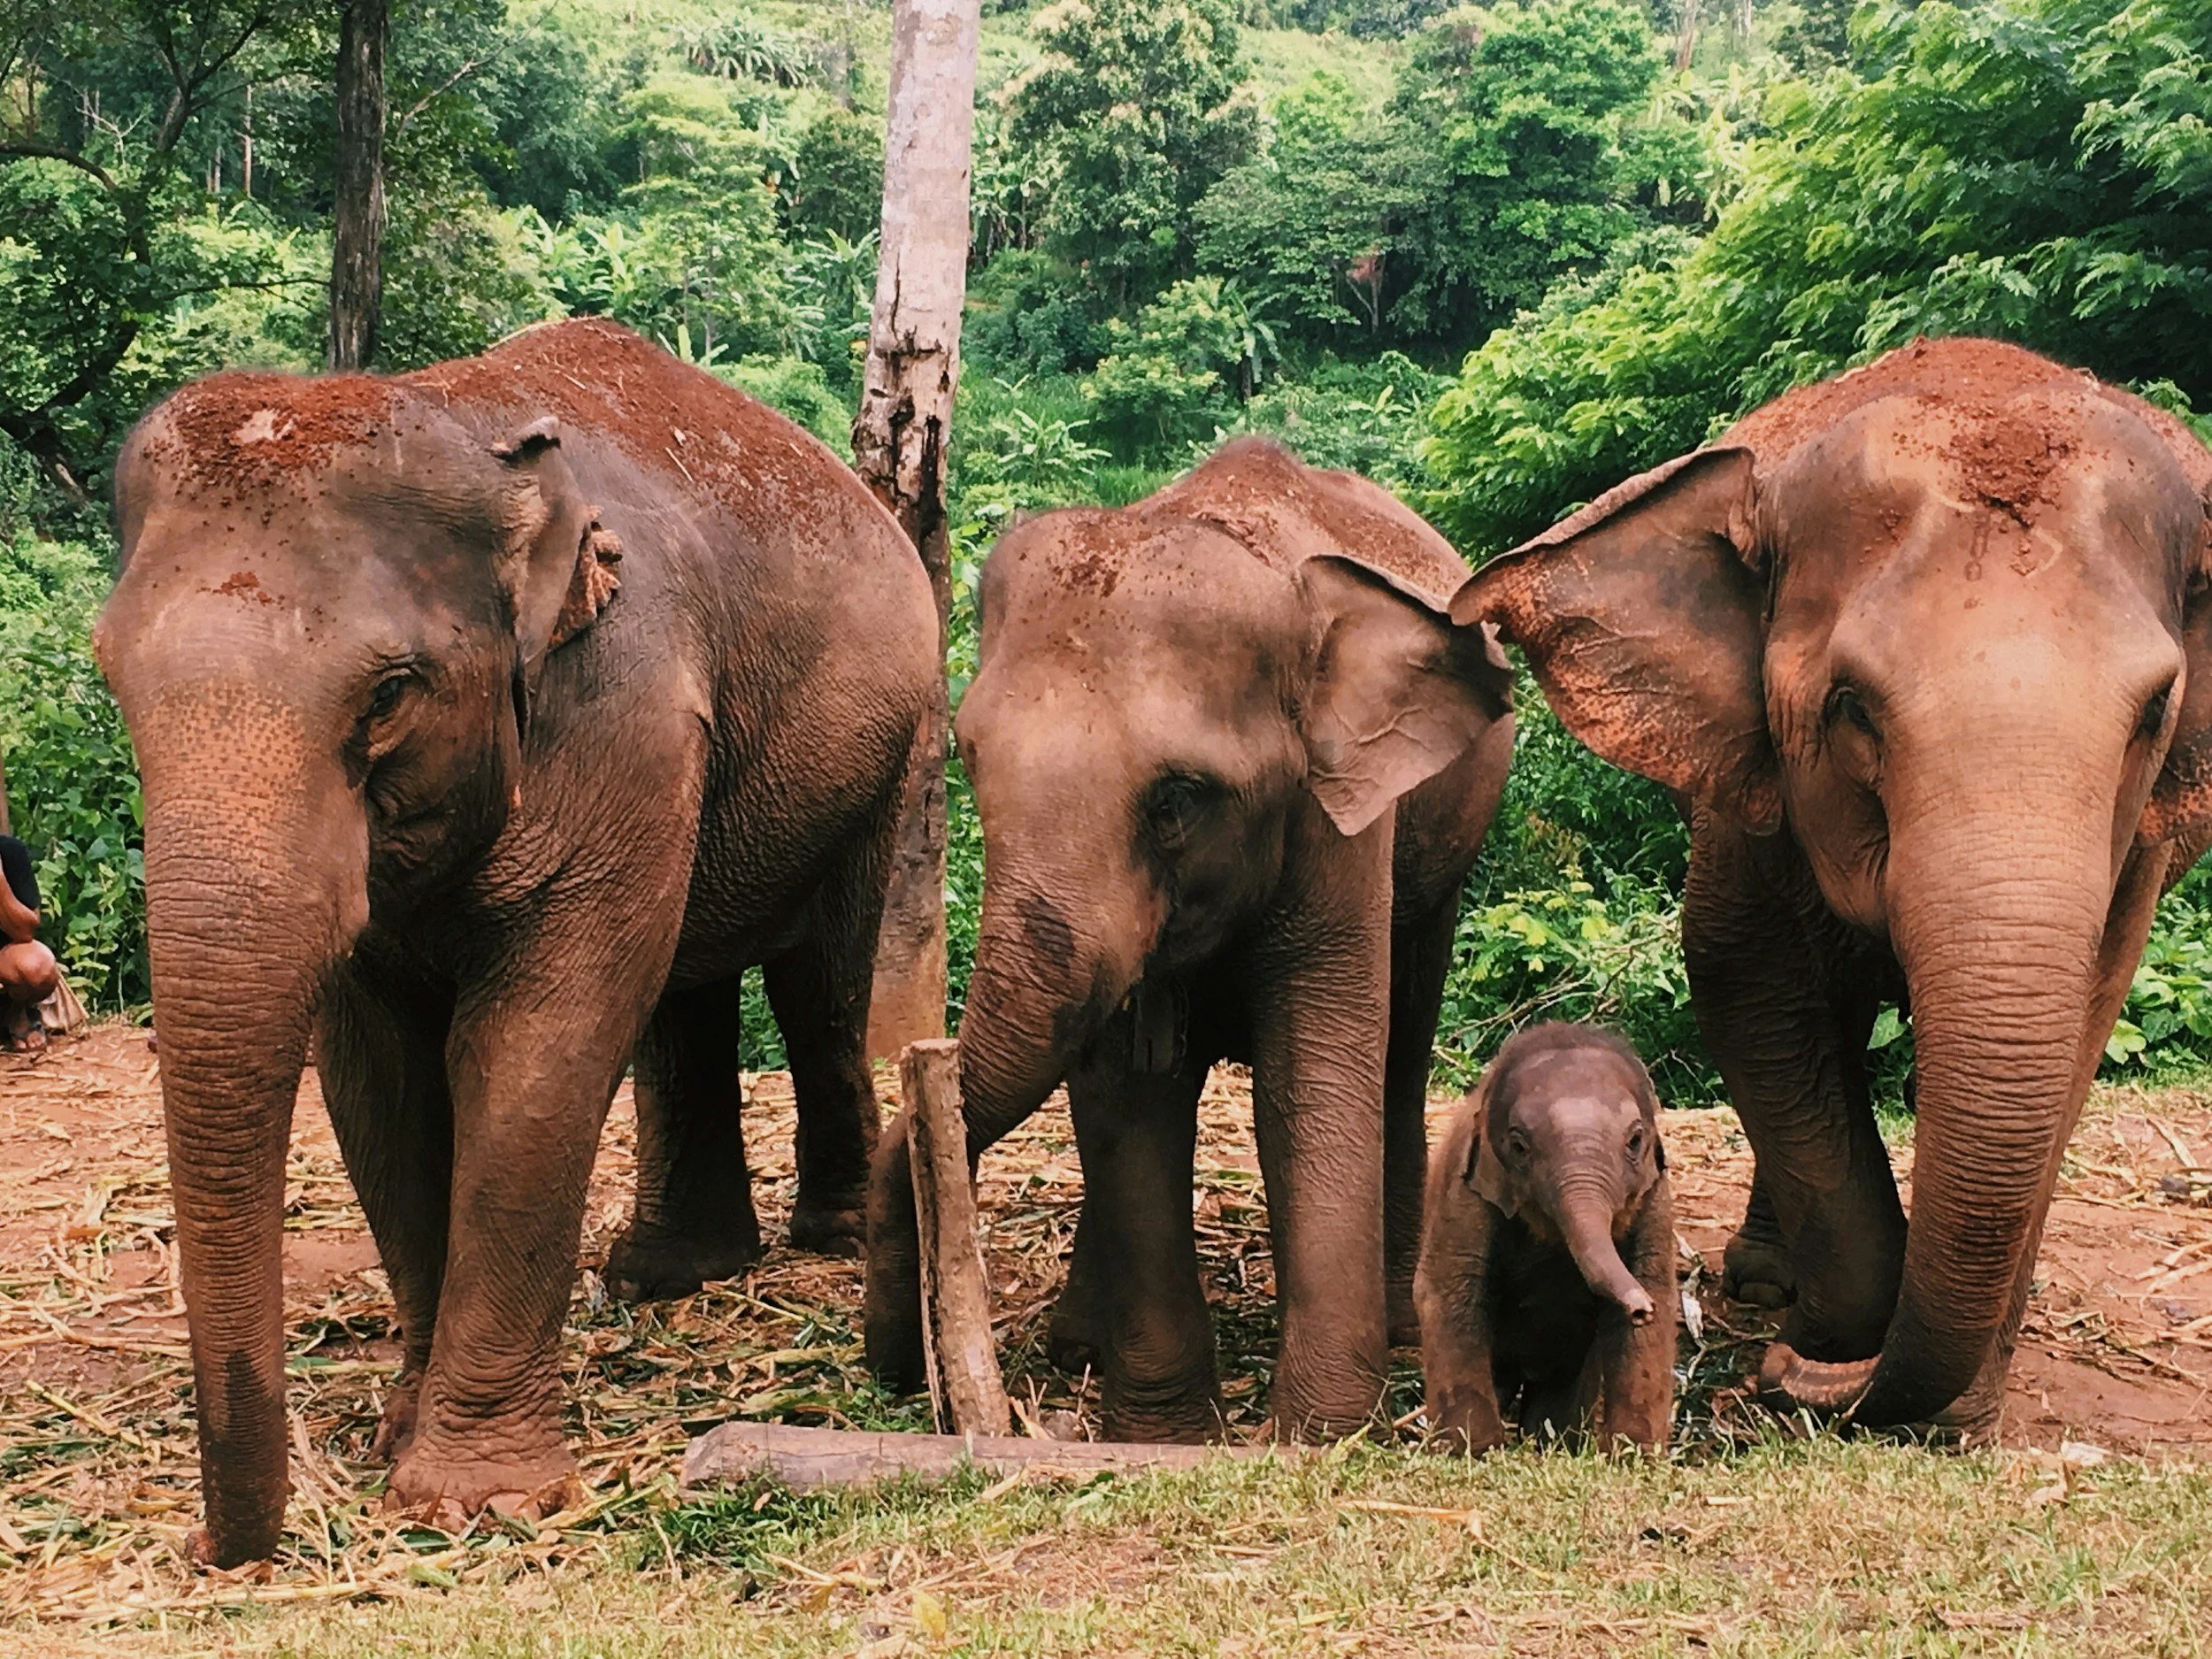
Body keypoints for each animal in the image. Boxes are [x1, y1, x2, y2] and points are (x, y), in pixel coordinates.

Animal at [95, 318, 937, 1565]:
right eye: (111, 677)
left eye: (390, 694)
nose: (219, 1550)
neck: (463, 431)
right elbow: (379, 1078)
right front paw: (399, 1442)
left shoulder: (626, 707)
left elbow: (536, 1043)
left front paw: (475, 1501)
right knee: (682, 991)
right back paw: (664, 1278)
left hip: (887, 751)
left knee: (815, 979)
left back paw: (824, 1239)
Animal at [864, 437, 1516, 1442]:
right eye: (970, 759)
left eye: (1176, 800)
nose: (897, 1371)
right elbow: (1126, 1094)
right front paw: (1167, 1438)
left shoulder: (1339, 823)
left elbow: (1312, 1076)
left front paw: (1316, 1437)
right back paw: (1077, 1347)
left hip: (1446, 848)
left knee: (1403, 1047)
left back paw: (1402, 1324)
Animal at [1415, 1022, 1675, 1453]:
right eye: (1519, 1145)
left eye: (1635, 1141)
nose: (1639, 1307)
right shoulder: (1464, 1193)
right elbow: (1449, 1294)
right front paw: (1475, 1451)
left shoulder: (1655, 1199)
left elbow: (1658, 1294)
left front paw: (1632, 1453)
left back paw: (1552, 1444)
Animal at [1453, 336, 2212, 1437]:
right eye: (1850, 705)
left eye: (2154, 711)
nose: (1774, 1374)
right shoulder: (1748, 791)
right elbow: (1745, 983)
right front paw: (1827, 1340)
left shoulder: (2136, 854)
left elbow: (2085, 1019)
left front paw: (1950, 1407)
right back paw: (1766, 1283)